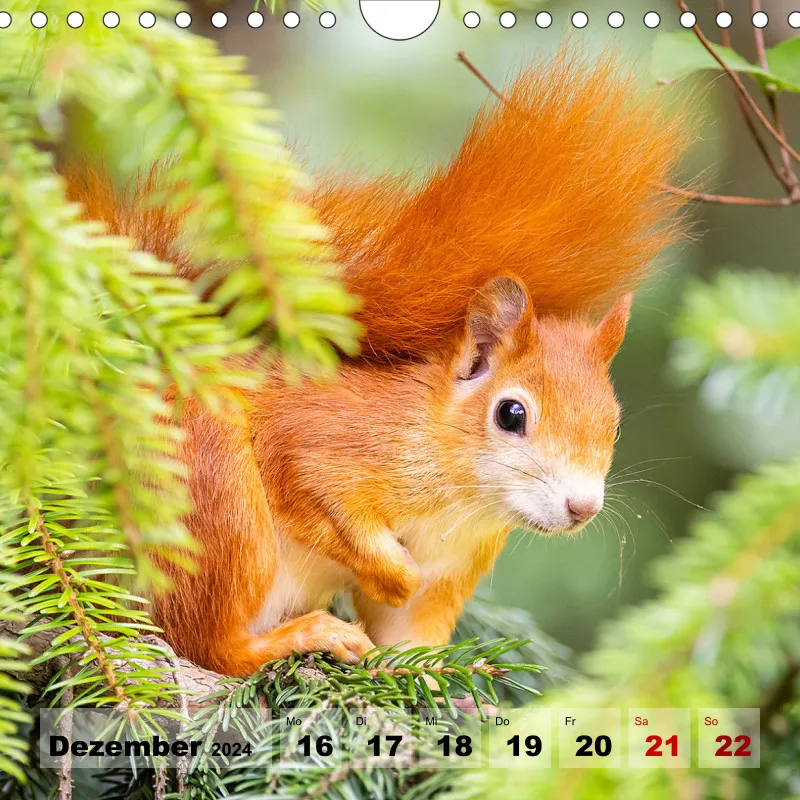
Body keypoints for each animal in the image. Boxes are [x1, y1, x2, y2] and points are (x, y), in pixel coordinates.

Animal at [64, 52, 686, 676]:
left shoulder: (449, 572)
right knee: (208, 643)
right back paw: (305, 634)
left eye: (614, 423)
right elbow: (323, 497)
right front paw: (392, 574)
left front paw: (439, 673)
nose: (582, 507)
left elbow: (411, 636)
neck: (463, 496)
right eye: (511, 415)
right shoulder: (324, 443)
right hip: (214, 497)